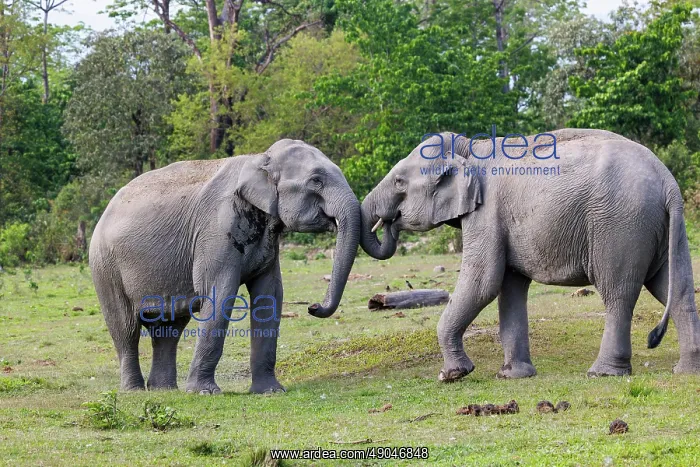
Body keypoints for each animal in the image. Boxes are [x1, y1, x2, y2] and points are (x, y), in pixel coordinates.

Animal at [89, 139, 360, 394]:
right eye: (316, 181)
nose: (313, 307)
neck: (260, 158)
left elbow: (269, 295)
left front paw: (270, 391)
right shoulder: (216, 229)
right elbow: (220, 291)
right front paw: (204, 393)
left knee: (169, 329)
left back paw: (163, 390)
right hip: (105, 267)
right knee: (125, 328)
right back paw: (134, 391)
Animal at [359, 128, 700, 380]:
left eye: (400, 181)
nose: (389, 221)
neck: (469, 147)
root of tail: (667, 181)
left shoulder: (486, 214)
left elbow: (483, 282)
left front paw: (453, 375)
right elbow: (508, 286)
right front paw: (512, 376)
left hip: (619, 225)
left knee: (618, 293)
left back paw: (603, 373)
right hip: (662, 229)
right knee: (676, 289)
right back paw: (686, 371)